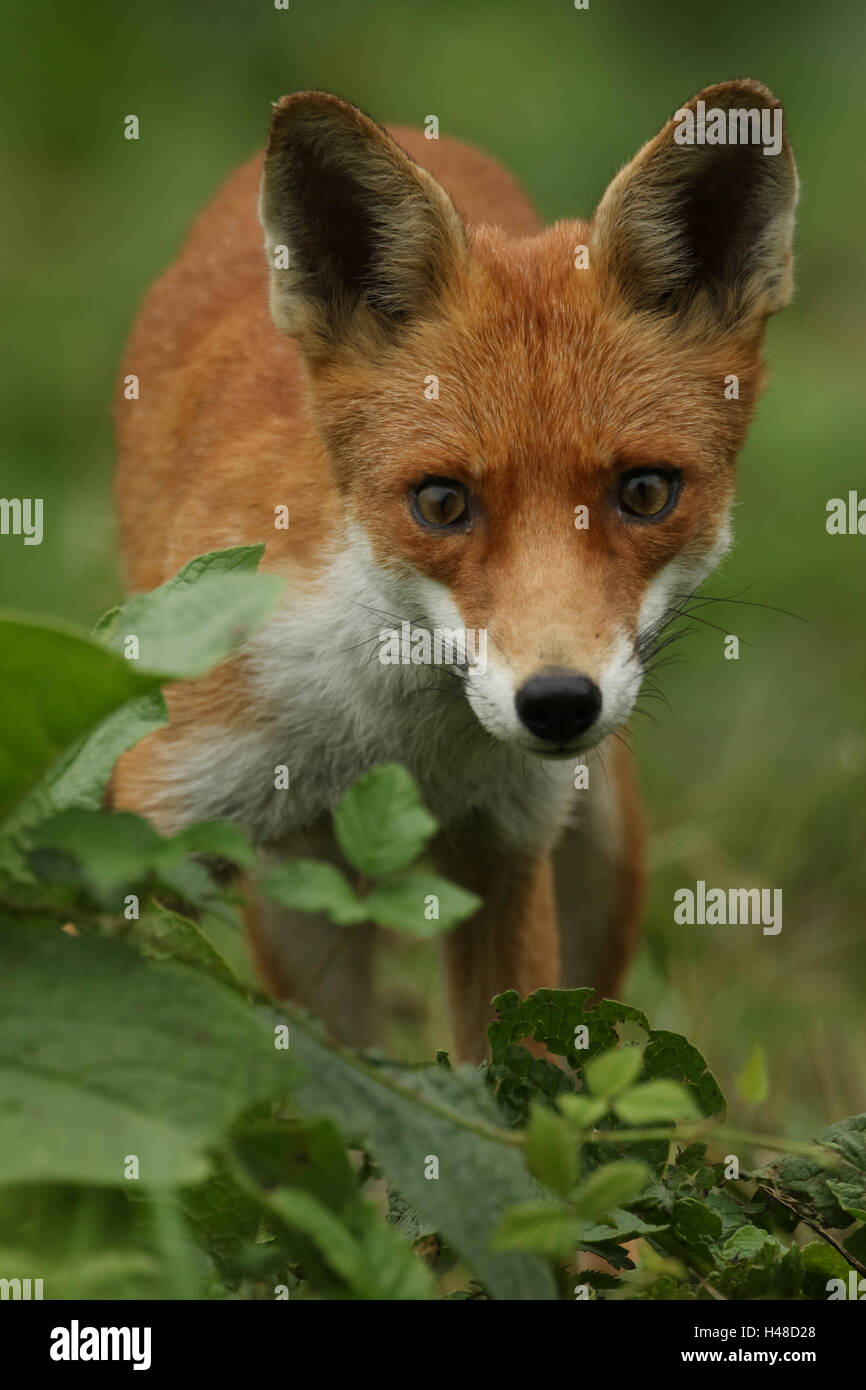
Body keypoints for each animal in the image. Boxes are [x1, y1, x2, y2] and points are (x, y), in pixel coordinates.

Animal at [113, 81, 800, 1056]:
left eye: (644, 492)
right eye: (441, 503)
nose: (558, 703)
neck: (383, 741)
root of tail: (409, 126)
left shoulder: (507, 859)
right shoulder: (148, 811)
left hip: (598, 855)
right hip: (295, 907)